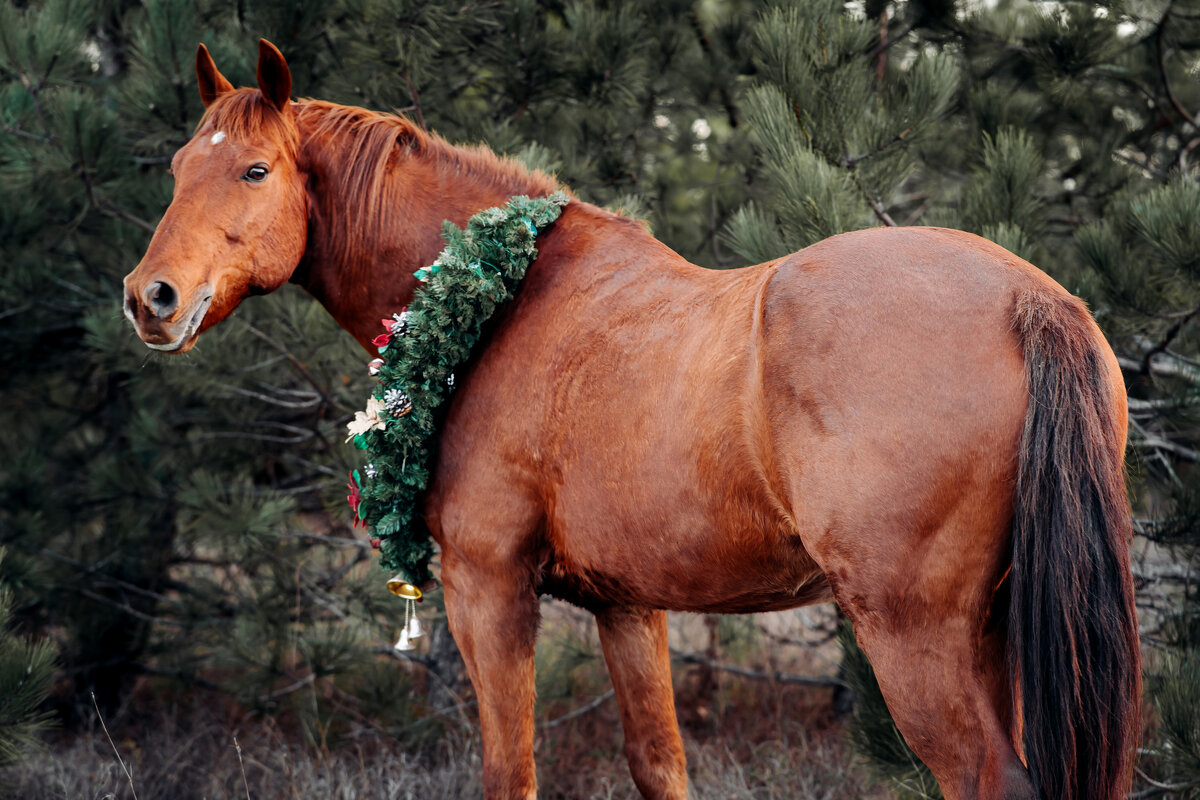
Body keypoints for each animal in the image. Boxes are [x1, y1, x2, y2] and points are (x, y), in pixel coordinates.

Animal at [124, 40, 1142, 800]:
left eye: (255, 169)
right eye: (177, 169)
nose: (149, 298)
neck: (500, 296)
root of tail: (1030, 298)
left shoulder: (489, 590)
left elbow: (511, 772)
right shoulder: (628, 607)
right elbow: (660, 765)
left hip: (915, 635)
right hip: (995, 630)